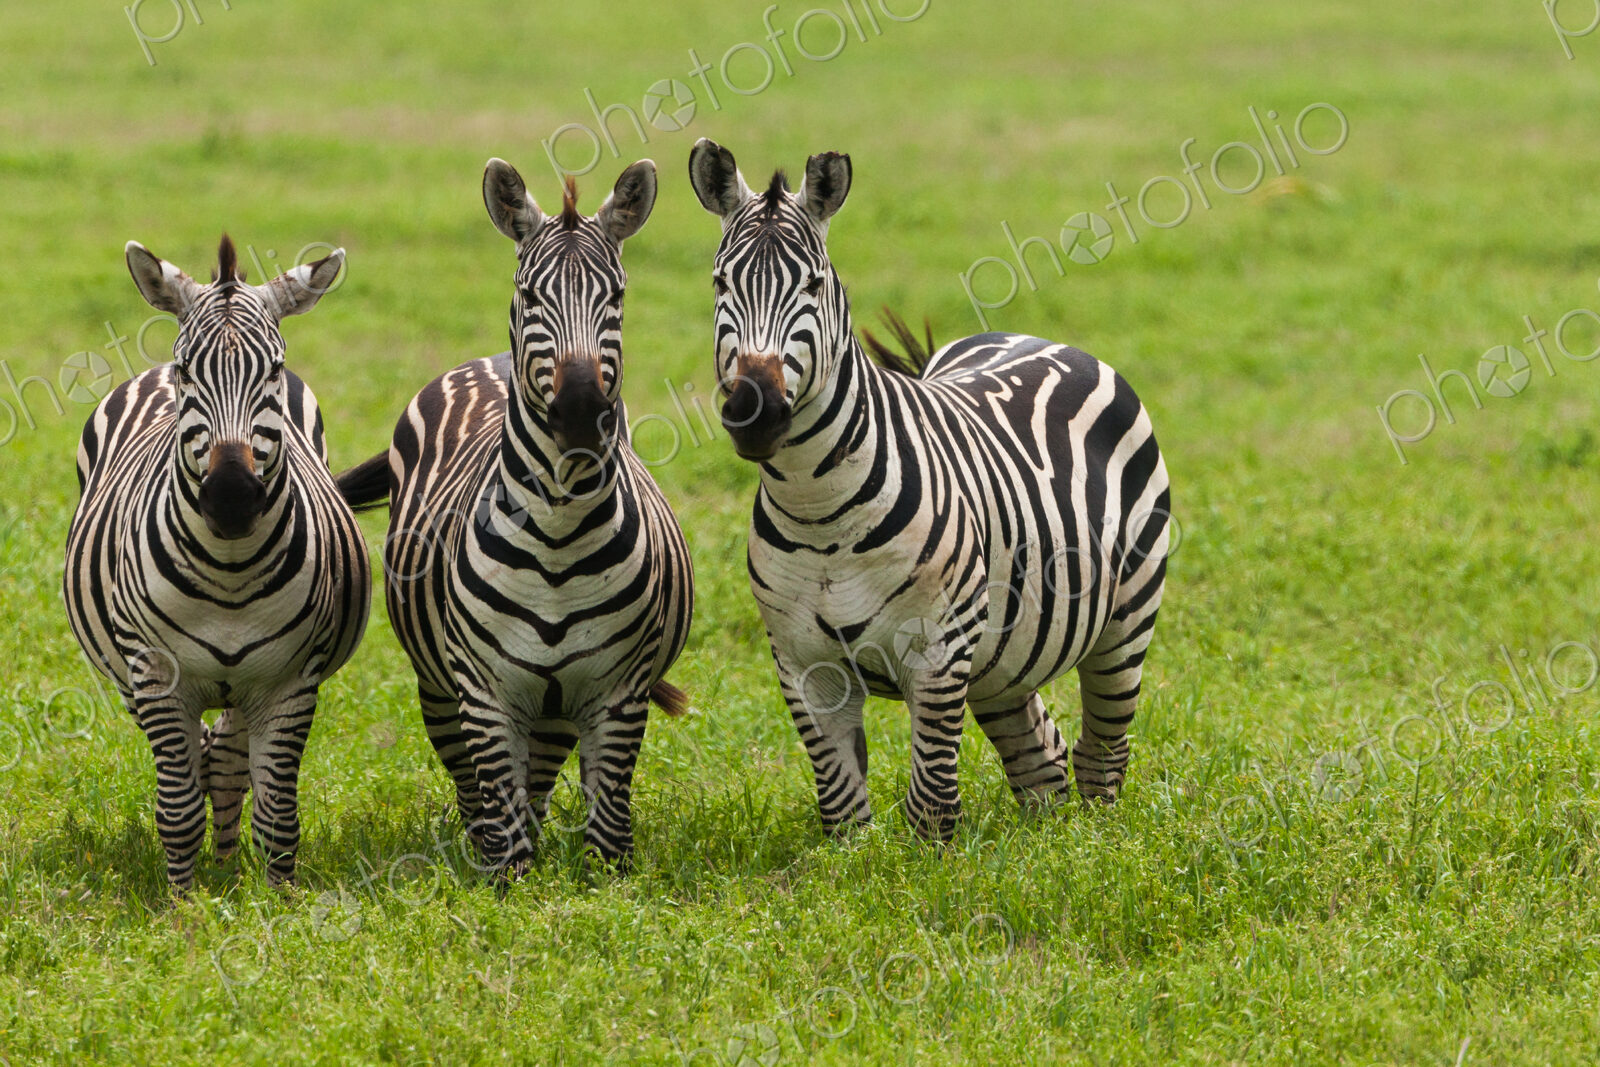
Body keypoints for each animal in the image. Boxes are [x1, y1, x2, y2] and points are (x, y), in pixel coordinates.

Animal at [62, 235, 370, 889]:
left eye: (273, 370)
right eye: (187, 371)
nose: (230, 498)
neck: (229, 570)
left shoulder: (290, 683)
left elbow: (278, 814)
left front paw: (275, 898)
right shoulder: (156, 678)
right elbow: (177, 808)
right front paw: (183, 902)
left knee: (227, 760)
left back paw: (228, 869)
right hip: (127, 673)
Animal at [337, 158, 693, 873]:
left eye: (617, 296)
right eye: (529, 295)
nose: (581, 412)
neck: (557, 534)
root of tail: (488, 359)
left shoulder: (619, 691)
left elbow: (608, 836)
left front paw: (600, 888)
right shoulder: (484, 694)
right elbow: (506, 846)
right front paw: (508, 888)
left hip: (553, 707)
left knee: (538, 783)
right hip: (440, 686)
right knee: (477, 792)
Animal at [688, 140, 1172, 840]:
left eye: (813, 285)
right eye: (721, 284)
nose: (756, 410)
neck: (819, 511)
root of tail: (1037, 337)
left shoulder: (939, 650)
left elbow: (932, 806)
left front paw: (934, 867)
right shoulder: (802, 664)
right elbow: (843, 809)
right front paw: (856, 864)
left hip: (1124, 621)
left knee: (1100, 752)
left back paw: (1097, 845)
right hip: (1005, 656)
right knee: (1042, 758)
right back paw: (1053, 845)